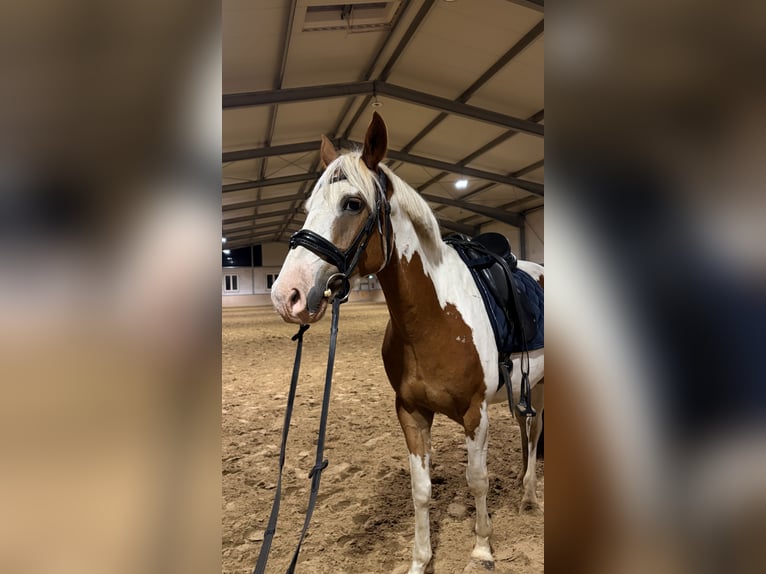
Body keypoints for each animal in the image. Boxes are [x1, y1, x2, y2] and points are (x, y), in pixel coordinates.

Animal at [271, 112, 544, 573]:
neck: (432, 319)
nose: (286, 294)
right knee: (529, 429)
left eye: (352, 203)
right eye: (309, 207)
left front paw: (482, 548)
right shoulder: (411, 412)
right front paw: (420, 559)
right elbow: (421, 489)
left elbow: (477, 480)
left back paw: (529, 498)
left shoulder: (475, 413)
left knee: (536, 428)